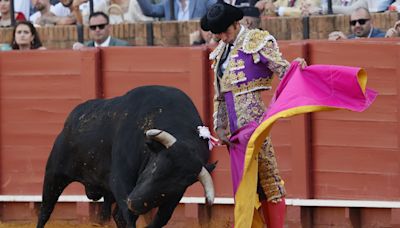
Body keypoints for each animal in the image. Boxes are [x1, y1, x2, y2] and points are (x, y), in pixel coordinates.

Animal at [37, 86, 216, 228]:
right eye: (155, 168)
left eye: (176, 186)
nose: (134, 204)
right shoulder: (121, 178)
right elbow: (128, 216)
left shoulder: (174, 197)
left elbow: (161, 218)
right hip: (54, 174)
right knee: (45, 210)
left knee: (117, 215)